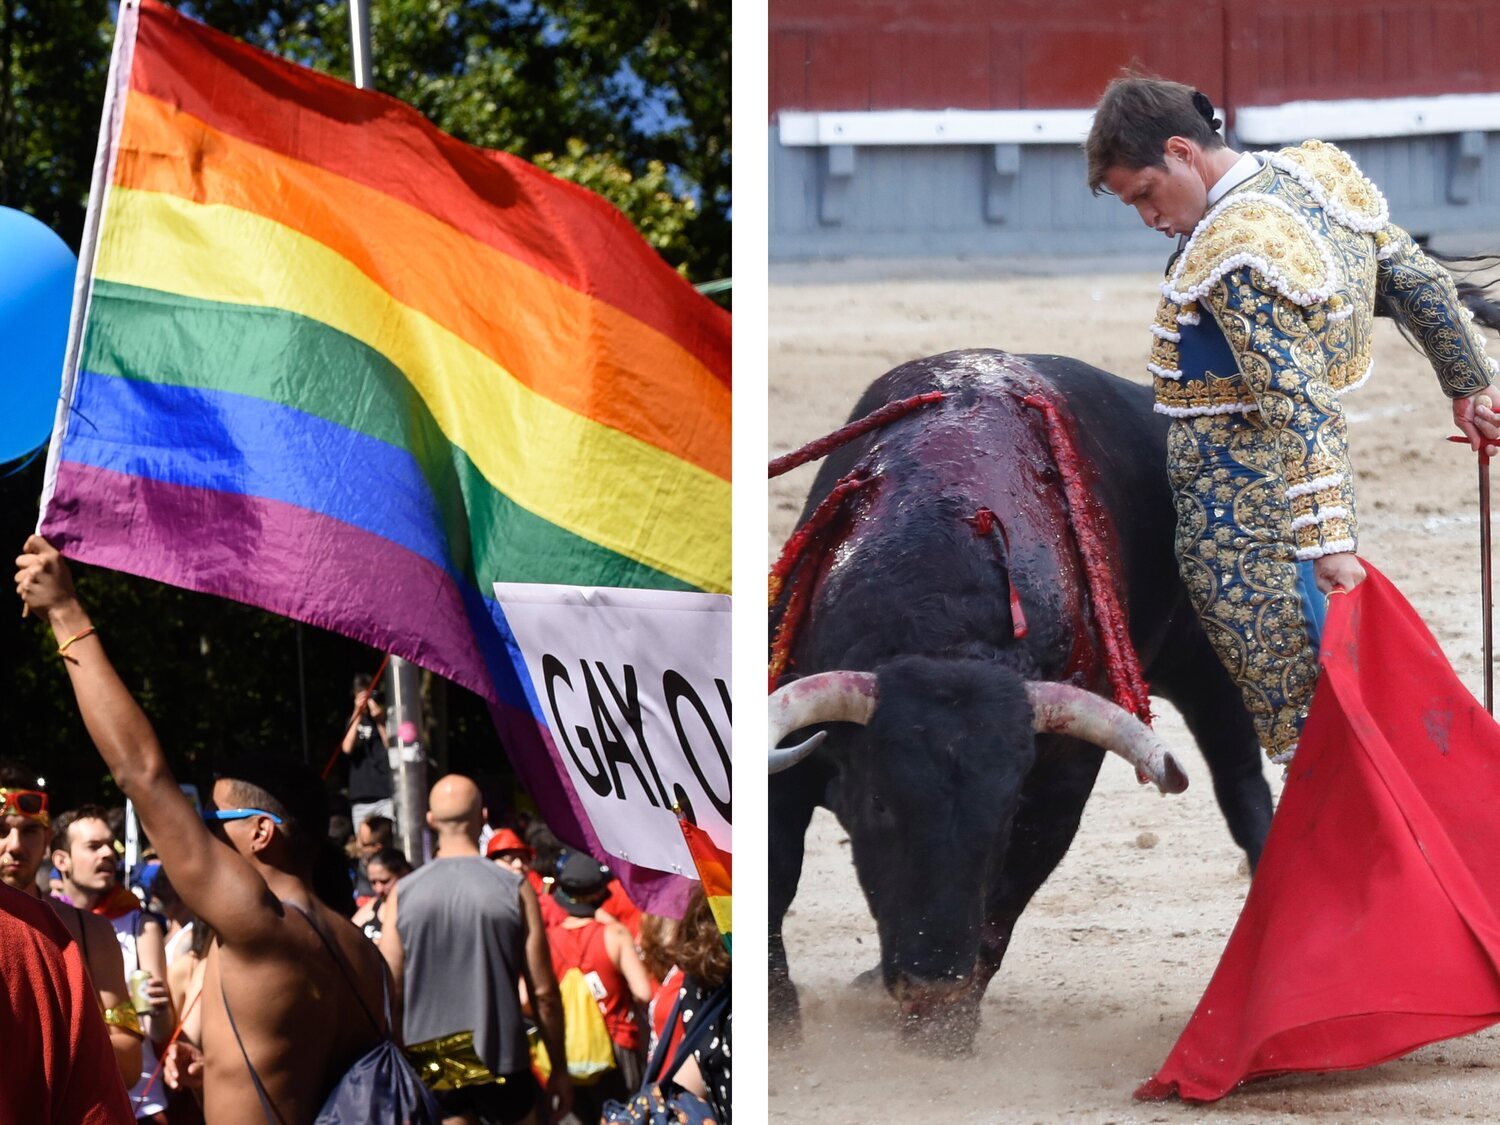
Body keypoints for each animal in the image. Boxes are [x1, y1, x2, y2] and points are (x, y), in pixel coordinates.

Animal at [774, 348, 1278, 1056]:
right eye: (877, 802)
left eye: (1007, 809)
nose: (932, 978)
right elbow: (774, 876)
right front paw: (780, 1030)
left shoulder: (1056, 792)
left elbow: (1002, 907)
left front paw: (943, 1036)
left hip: (1211, 657)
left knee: (1240, 780)